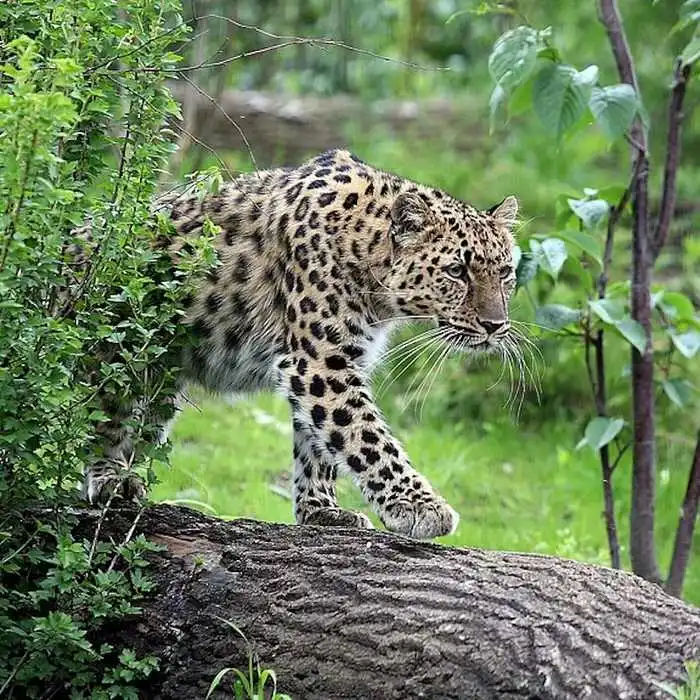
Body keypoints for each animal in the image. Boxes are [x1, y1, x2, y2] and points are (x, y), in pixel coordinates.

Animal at [83, 149, 520, 540]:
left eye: (505, 273)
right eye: (457, 271)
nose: (495, 325)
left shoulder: (334, 362)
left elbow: (320, 444)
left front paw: (321, 512)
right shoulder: (320, 361)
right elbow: (365, 436)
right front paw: (419, 506)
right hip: (112, 351)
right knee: (104, 414)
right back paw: (111, 478)